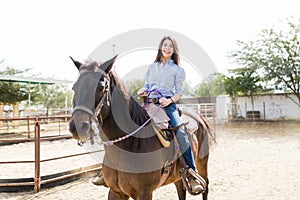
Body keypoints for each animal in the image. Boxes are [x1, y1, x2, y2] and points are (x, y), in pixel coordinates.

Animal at [69, 55, 212, 200]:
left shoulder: (145, 193)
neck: (132, 144)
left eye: (101, 88)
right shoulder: (115, 192)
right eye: (74, 87)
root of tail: (199, 117)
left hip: (202, 163)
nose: (78, 126)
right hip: (177, 176)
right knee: (181, 189)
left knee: (205, 185)